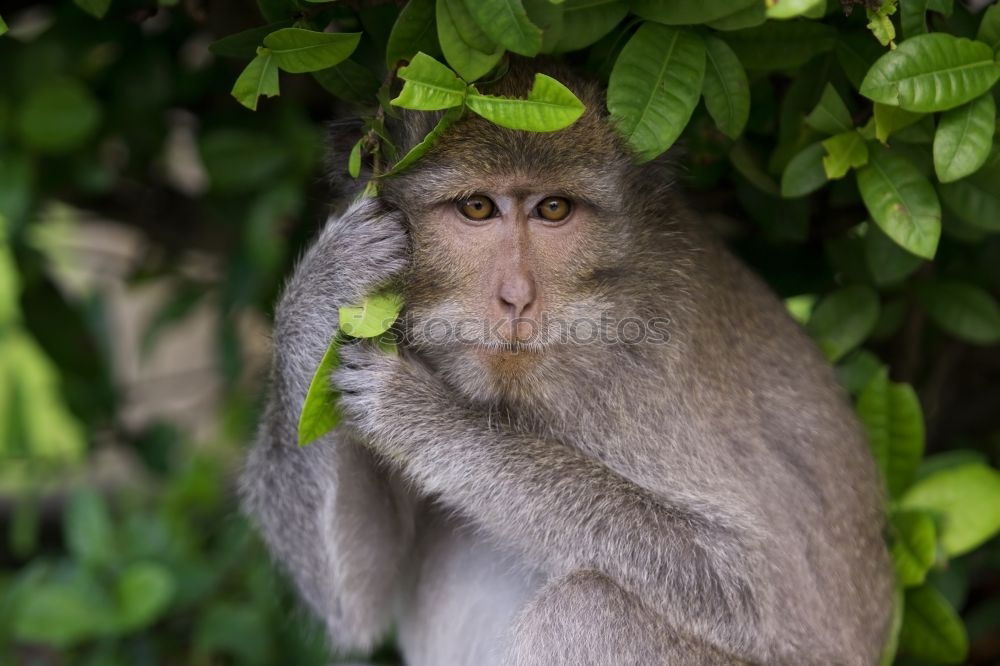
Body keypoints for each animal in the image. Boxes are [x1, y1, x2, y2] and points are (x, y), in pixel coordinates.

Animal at [238, 61, 896, 664]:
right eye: (478, 208)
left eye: (553, 209)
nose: (517, 298)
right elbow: (357, 602)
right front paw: (326, 283)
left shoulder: (647, 372)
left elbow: (752, 585)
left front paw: (425, 419)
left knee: (586, 609)